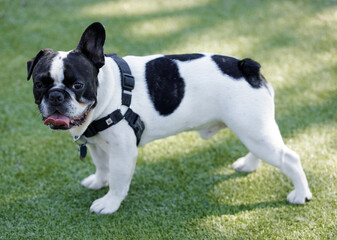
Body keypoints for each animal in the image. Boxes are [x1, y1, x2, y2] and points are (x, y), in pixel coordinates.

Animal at [26, 22, 312, 214]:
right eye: (39, 84)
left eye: (77, 85)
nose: (56, 96)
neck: (108, 91)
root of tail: (246, 66)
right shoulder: (97, 144)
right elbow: (101, 166)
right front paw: (98, 182)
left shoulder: (123, 151)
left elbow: (118, 178)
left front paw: (109, 203)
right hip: (252, 128)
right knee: (262, 148)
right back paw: (249, 165)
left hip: (252, 127)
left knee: (289, 158)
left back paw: (301, 194)